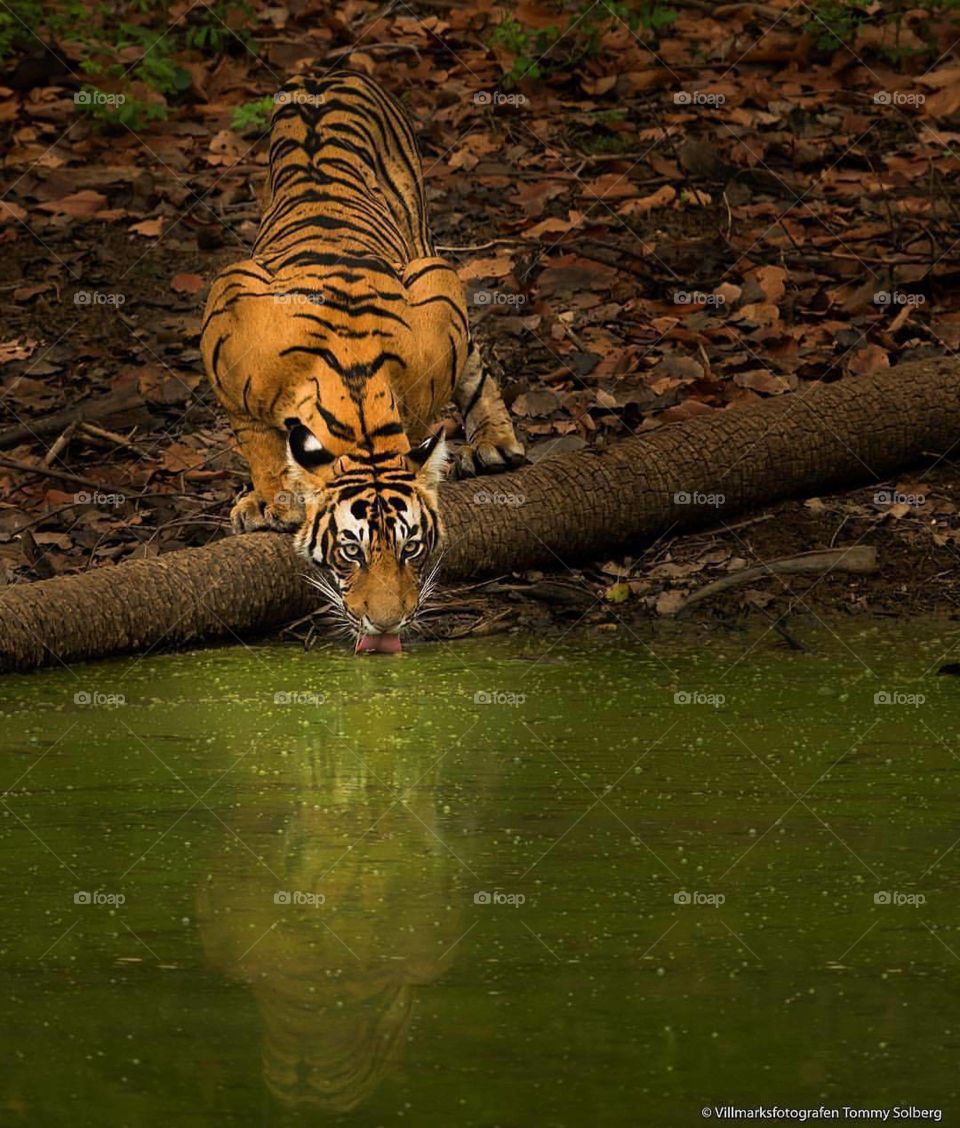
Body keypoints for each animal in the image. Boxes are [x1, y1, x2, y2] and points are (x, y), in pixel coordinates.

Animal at [200, 69, 524, 653]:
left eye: (412, 548)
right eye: (350, 552)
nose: (389, 622)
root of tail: (328, 69)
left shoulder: (439, 303)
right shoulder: (225, 318)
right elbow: (258, 443)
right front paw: (274, 500)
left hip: (426, 256)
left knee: (476, 364)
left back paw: (493, 443)